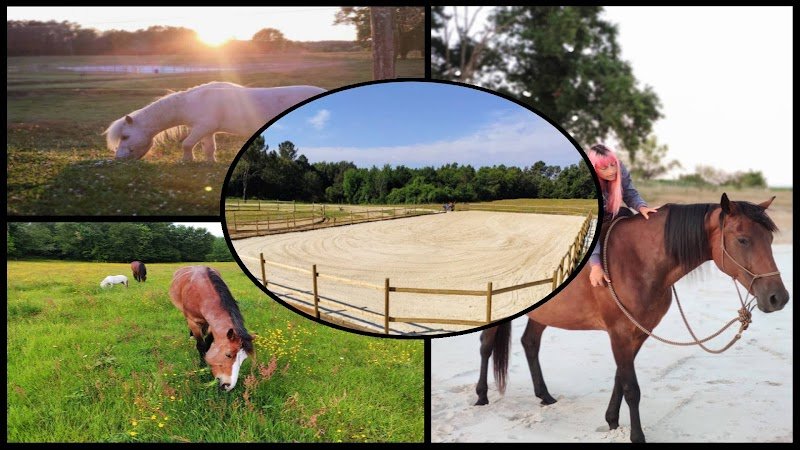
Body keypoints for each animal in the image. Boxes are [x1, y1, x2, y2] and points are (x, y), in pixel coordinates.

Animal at [104, 82, 326, 162]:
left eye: (125, 136)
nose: (119, 158)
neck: (191, 102)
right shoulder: (208, 131)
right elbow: (209, 149)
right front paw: (210, 163)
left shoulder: (203, 127)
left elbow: (187, 144)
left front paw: (187, 161)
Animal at [474, 193, 789, 443]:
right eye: (743, 239)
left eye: (770, 239)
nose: (779, 298)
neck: (637, 260)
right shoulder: (620, 333)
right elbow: (632, 388)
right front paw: (637, 436)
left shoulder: (637, 333)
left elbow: (620, 378)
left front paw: (612, 420)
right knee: (487, 345)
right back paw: (481, 395)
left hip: (543, 314)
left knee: (530, 344)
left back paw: (545, 395)